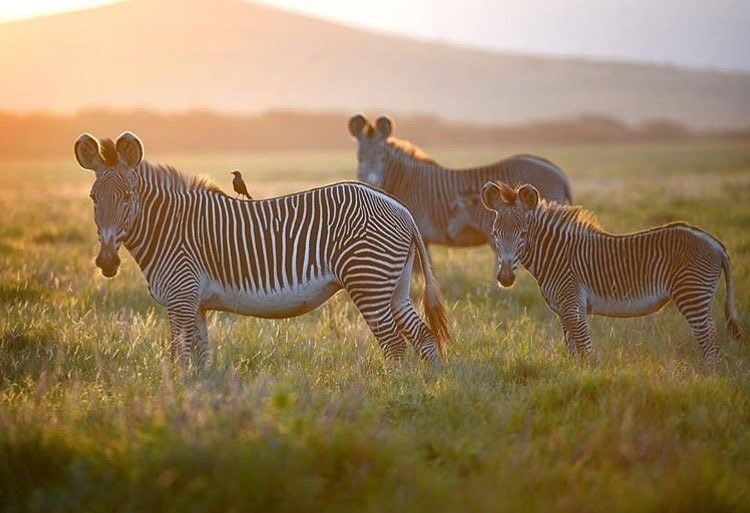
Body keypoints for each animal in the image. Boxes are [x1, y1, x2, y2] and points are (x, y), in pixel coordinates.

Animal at [75, 130, 452, 366]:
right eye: (93, 198)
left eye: (127, 197)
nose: (106, 262)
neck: (167, 228)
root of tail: (400, 208)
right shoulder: (196, 304)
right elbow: (200, 359)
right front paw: (203, 400)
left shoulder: (181, 299)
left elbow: (178, 358)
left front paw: (176, 402)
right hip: (395, 285)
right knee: (422, 336)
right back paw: (426, 390)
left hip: (368, 281)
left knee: (394, 343)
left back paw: (392, 392)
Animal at [350, 115, 572, 253]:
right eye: (359, 159)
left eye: (382, 159)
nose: (372, 183)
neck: (404, 181)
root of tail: (559, 172)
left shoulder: (417, 232)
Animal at [482, 180, 748, 364]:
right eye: (494, 233)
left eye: (523, 234)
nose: (505, 278)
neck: (555, 256)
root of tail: (715, 243)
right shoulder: (562, 311)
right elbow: (572, 352)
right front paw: (573, 376)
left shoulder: (573, 306)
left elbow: (586, 350)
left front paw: (590, 380)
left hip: (692, 295)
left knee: (710, 341)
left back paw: (708, 378)